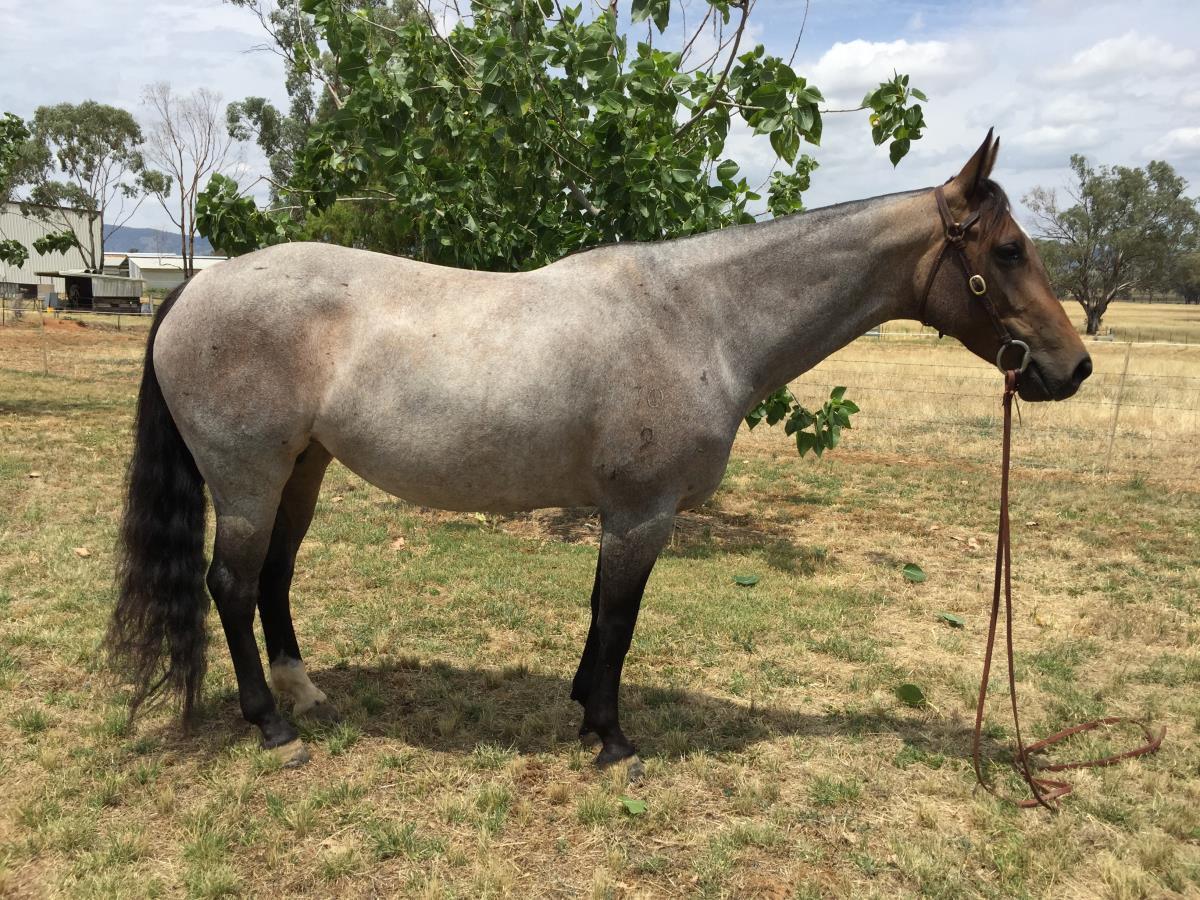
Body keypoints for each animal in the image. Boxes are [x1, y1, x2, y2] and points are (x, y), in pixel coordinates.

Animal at [107, 131, 1091, 770]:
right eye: (1009, 249)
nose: (1073, 366)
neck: (701, 317)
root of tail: (197, 289)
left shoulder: (628, 517)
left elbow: (599, 618)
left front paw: (585, 710)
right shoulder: (641, 515)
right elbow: (617, 619)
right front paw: (612, 738)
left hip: (300, 470)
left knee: (273, 577)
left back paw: (306, 697)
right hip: (247, 478)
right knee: (231, 585)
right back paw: (272, 726)